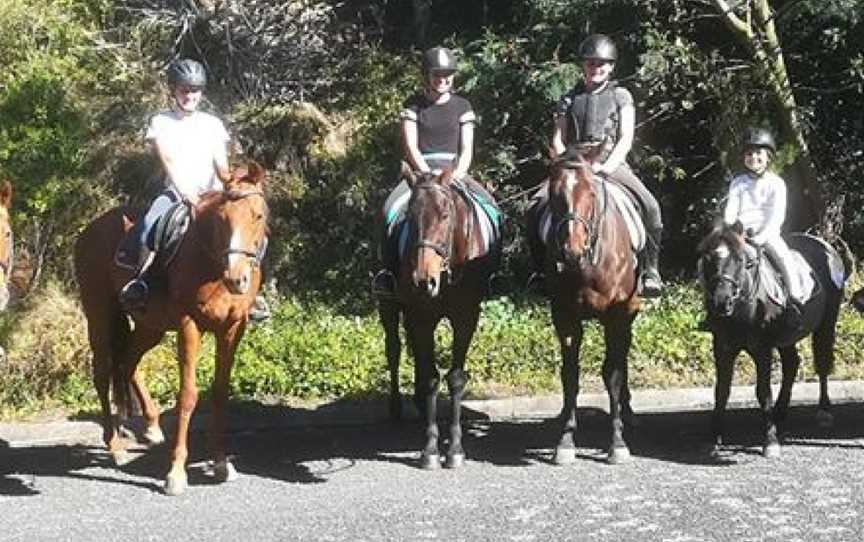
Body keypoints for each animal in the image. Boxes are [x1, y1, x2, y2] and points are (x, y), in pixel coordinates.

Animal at [74, 162, 266, 498]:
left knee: (127, 361)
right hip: (99, 314)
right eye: (222, 219)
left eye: (257, 215)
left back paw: (151, 427)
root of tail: (88, 232)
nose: (237, 278)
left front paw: (220, 462)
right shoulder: (190, 326)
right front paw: (176, 473)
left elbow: (219, 393)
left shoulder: (232, 329)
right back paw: (116, 447)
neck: (211, 265)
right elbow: (188, 395)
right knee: (102, 372)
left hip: (151, 325)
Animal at [380, 171, 506, 472]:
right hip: (389, 303)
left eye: (446, 214)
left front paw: (456, 449)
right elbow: (430, 377)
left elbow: (455, 378)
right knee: (394, 349)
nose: (424, 280)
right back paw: (397, 406)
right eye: (410, 216)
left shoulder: (466, 318)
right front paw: (429, 450)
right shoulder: (422, 316)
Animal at [528, 150, 640, 468]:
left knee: (622, 359)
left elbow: (612, 375)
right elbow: (570, 377)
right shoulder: (564, 317)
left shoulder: (616, 316)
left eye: (591, 193)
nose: (571, 251)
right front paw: (565, 441)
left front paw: (617, 443)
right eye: (554, 194)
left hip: (629, 314)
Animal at [700, 221, 848, 460]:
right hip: (787, 338)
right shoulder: (723, 348)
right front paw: (714, 438)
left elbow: (763, 392)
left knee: (822, 363)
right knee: (792, 364)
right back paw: (780, 411)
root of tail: (825, 245)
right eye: (708, 259)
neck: (743, 310)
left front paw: (770, 442)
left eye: (743, 261)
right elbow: (721, 392)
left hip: (827, 324)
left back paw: (824, 411)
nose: (721, 302)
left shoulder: (762, 349)